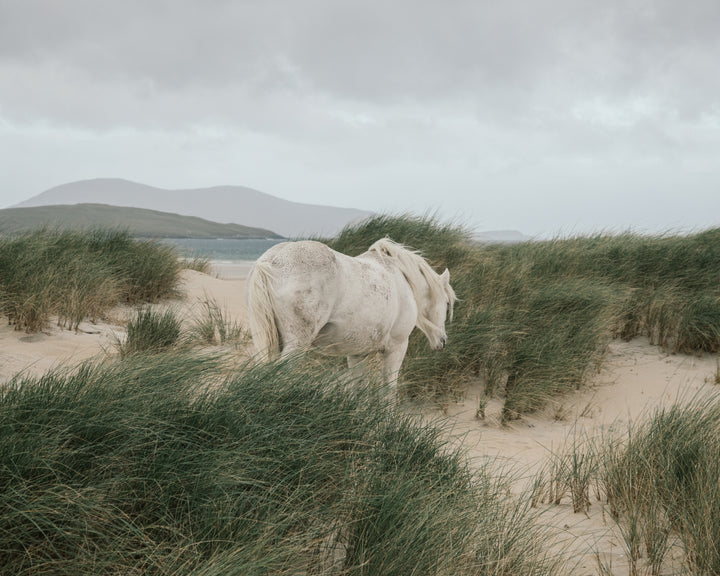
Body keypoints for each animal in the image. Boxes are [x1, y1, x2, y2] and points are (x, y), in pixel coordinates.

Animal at [246, 236, 456, 394]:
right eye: (447, 304)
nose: (443, 341)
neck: (401, 278)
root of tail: (271, 260)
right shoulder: (396, 347)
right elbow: (388, 392)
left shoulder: (357, 353)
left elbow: (358, 389)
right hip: (296, 344)